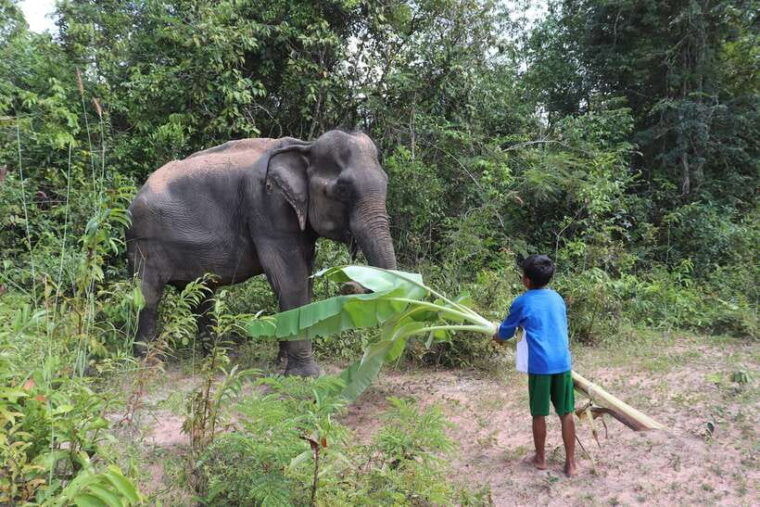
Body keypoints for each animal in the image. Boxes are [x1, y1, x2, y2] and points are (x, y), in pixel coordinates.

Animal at [125, 130, 397, 376]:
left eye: (386, 181)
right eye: (341, 189)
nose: (348, 285)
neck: (304, 146)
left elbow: (303, 279)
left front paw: (282, 364)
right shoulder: (267, 207)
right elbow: (290, 280)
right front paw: (306, 375)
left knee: (202, 295)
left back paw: (218, 359)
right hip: (144, 242)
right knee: (148, 295)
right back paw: (148, 364)